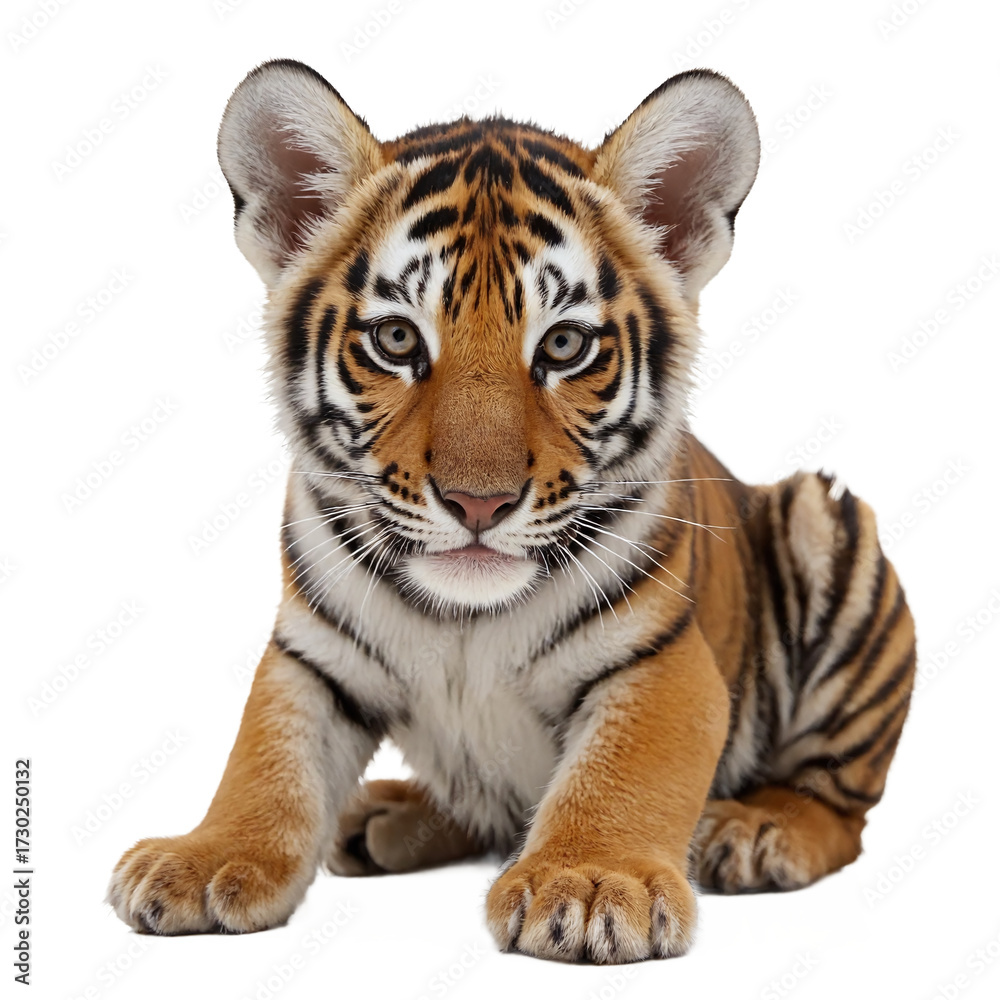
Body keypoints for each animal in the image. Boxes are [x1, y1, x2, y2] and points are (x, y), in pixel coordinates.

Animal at [107, 59, 916, 964]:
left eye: (564, 346)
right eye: (396, 340)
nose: (478, 501)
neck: (466, 623)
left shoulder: (665, 660)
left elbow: (622, 771)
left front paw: (591, 885)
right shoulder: (312, 653)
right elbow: (263, 758)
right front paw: (205, 858)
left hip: (826, 529)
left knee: (841, 806)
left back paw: (758, 831)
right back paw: (383, 816)